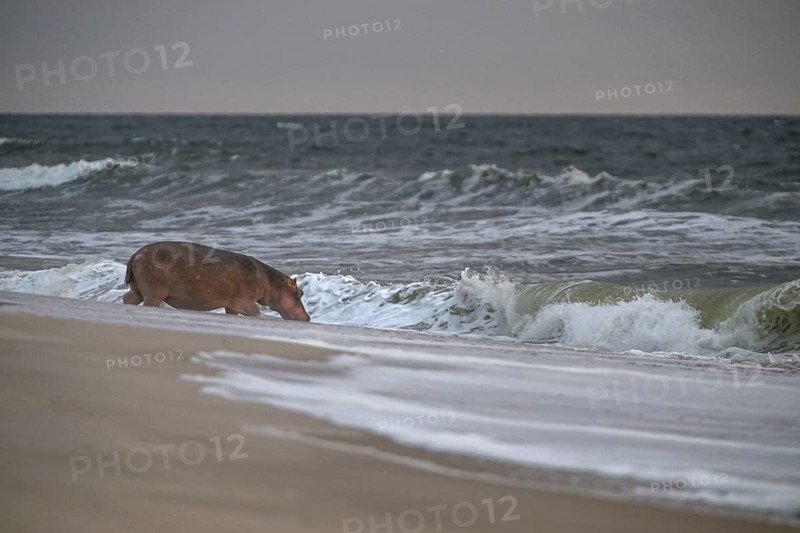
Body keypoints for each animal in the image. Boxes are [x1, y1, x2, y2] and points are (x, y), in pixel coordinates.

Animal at [122, 241, 310, 321]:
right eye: (300, 293)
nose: (308, 317)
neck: (272, 283)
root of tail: (135, 255)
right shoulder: (244, 301)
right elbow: (256, 312)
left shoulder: (232, 305)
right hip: (154, 293)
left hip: (138, 290)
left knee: (128, 298)